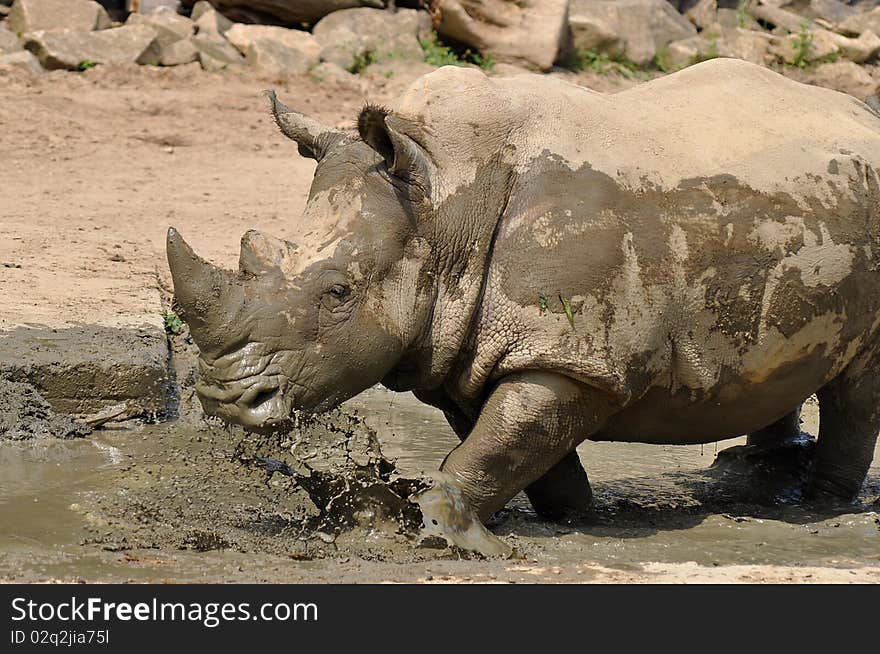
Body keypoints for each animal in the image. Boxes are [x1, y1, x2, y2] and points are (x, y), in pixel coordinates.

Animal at [168, 60, 880, 524]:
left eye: (338, 292)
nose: (224, 400)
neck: (444, 199)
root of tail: (858, 111)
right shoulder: (458, 342)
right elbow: (509, 439)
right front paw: (573, 514)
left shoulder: (569, 354)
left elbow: (502, 438)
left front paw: (437, 525)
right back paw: (755, 474)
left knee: (859, 382)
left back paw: (821, 503)